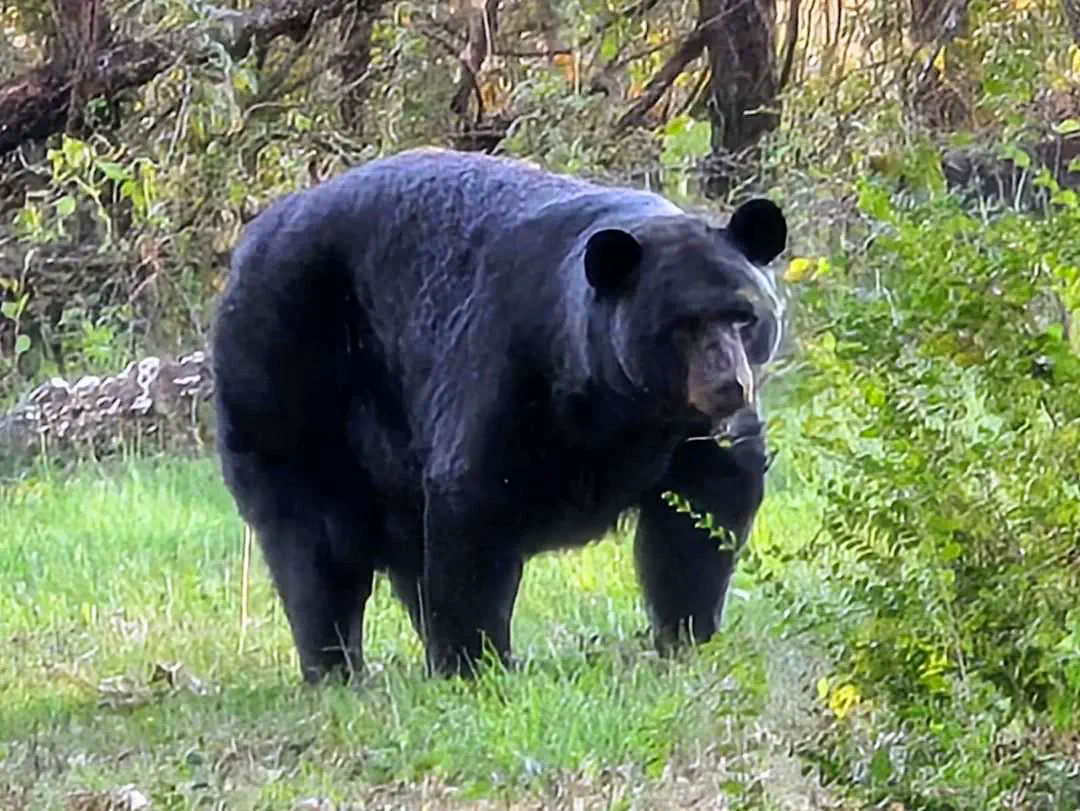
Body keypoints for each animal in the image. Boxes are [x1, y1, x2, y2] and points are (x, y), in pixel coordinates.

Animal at [210, 147, 787, 683]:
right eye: (681, 326)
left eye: (744, 316)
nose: (728, 386)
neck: (618, 404)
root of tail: (247, 247)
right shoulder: (509, 373)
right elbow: (476, 508)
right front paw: (474, 661)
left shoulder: (689, 436)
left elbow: (702, 515)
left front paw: (687, 634)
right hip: (291, 377)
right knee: (314, 543)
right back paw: (335, 667)